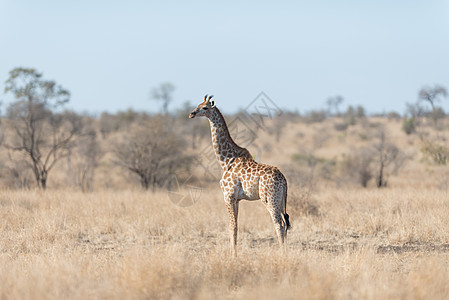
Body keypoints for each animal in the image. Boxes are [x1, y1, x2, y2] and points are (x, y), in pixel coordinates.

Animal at [187, 95, 288, 254]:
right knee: (286, 223)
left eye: (205, 107)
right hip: (280, 200)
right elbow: (236, 225)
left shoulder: (228, 196)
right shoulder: (237, 199)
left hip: (269, 199)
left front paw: (233, 255)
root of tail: (284, 180)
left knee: (279, 224)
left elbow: (232, 226)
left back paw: (282, 253)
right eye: (198, 104)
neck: (226, 160)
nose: (191, 114)